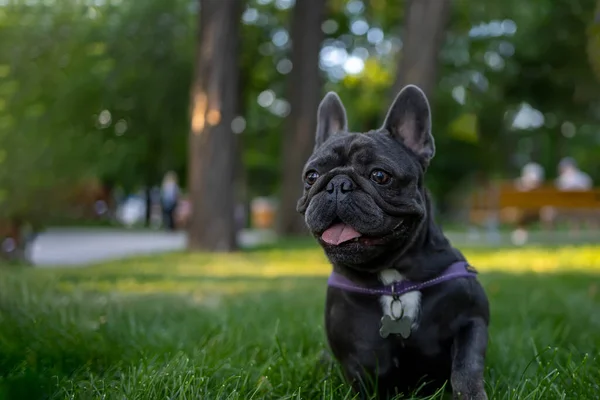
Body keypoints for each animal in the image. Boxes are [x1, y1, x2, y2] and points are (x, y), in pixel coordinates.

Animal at [298, 86, 490, 398]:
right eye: (311, 176)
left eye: (380, 175)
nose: (337, 184)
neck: (393, 279)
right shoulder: (356, 355)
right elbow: (362, 380)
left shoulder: (471, 320)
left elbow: (466, 367)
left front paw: (471, 394)